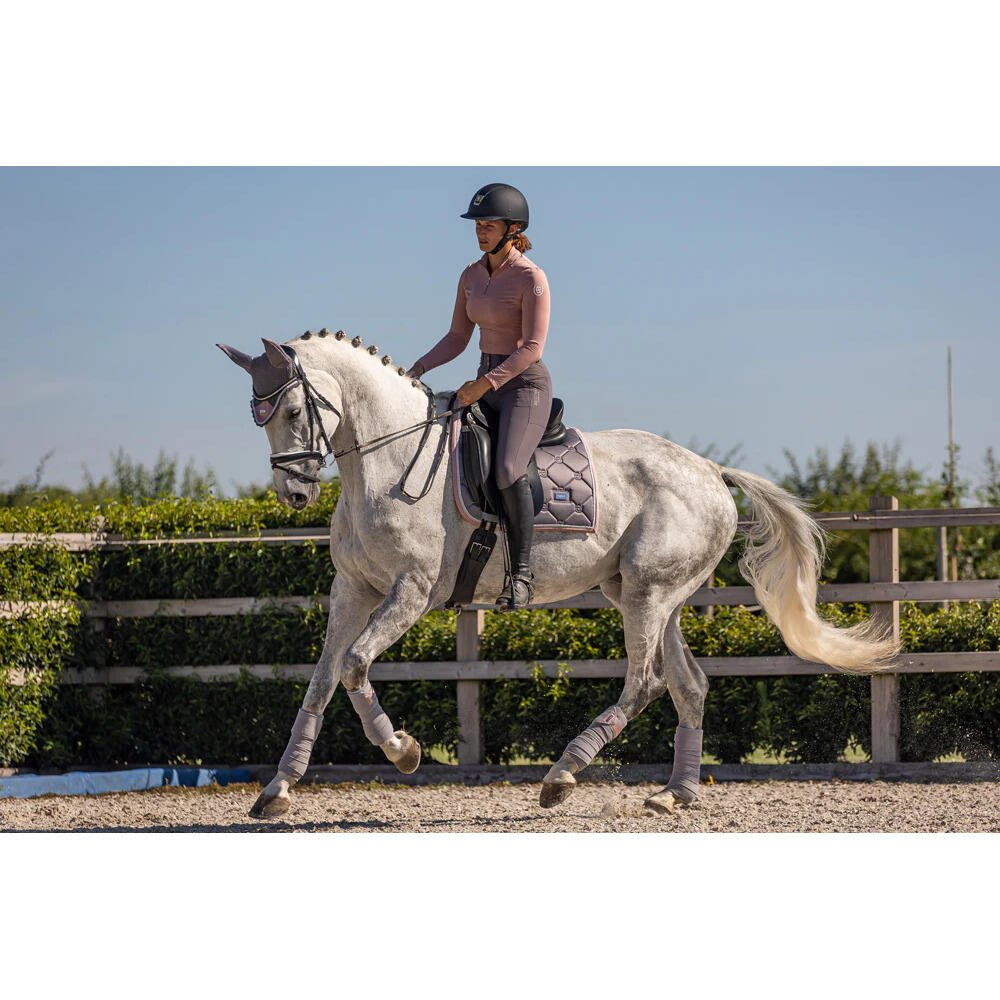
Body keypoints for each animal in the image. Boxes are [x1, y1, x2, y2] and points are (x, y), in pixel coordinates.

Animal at [218, 330, 898, 819]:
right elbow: (322, 680)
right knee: (689, 685)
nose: (294, 493)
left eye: (295, 408)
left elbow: (355, 666)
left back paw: (562, 776)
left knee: (645, 683)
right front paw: (278, 789)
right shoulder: (352, 590)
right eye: (257, 417)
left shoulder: (411, 591)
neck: (389, 463)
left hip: (648, 593)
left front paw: (405, 752)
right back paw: (673, 794)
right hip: (651, 596)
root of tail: (709, 468)